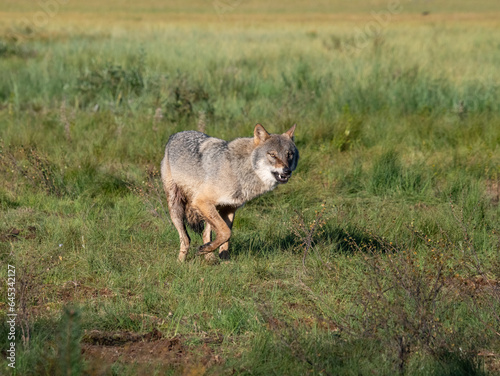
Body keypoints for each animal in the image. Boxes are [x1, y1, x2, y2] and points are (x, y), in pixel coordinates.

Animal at [162, 123, 298, 262]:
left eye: (289, 155)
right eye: (273, 155)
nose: (287, 171)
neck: (239, 170)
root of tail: (175, 134)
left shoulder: (229, 208)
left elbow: (226, 237)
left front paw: (225, 260)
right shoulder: (201, 201)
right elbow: (226, 232)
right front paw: (204, 250)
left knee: (205, 234)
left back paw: (210, 258)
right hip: (176, 207)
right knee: (186, 239)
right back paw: (181, 262)